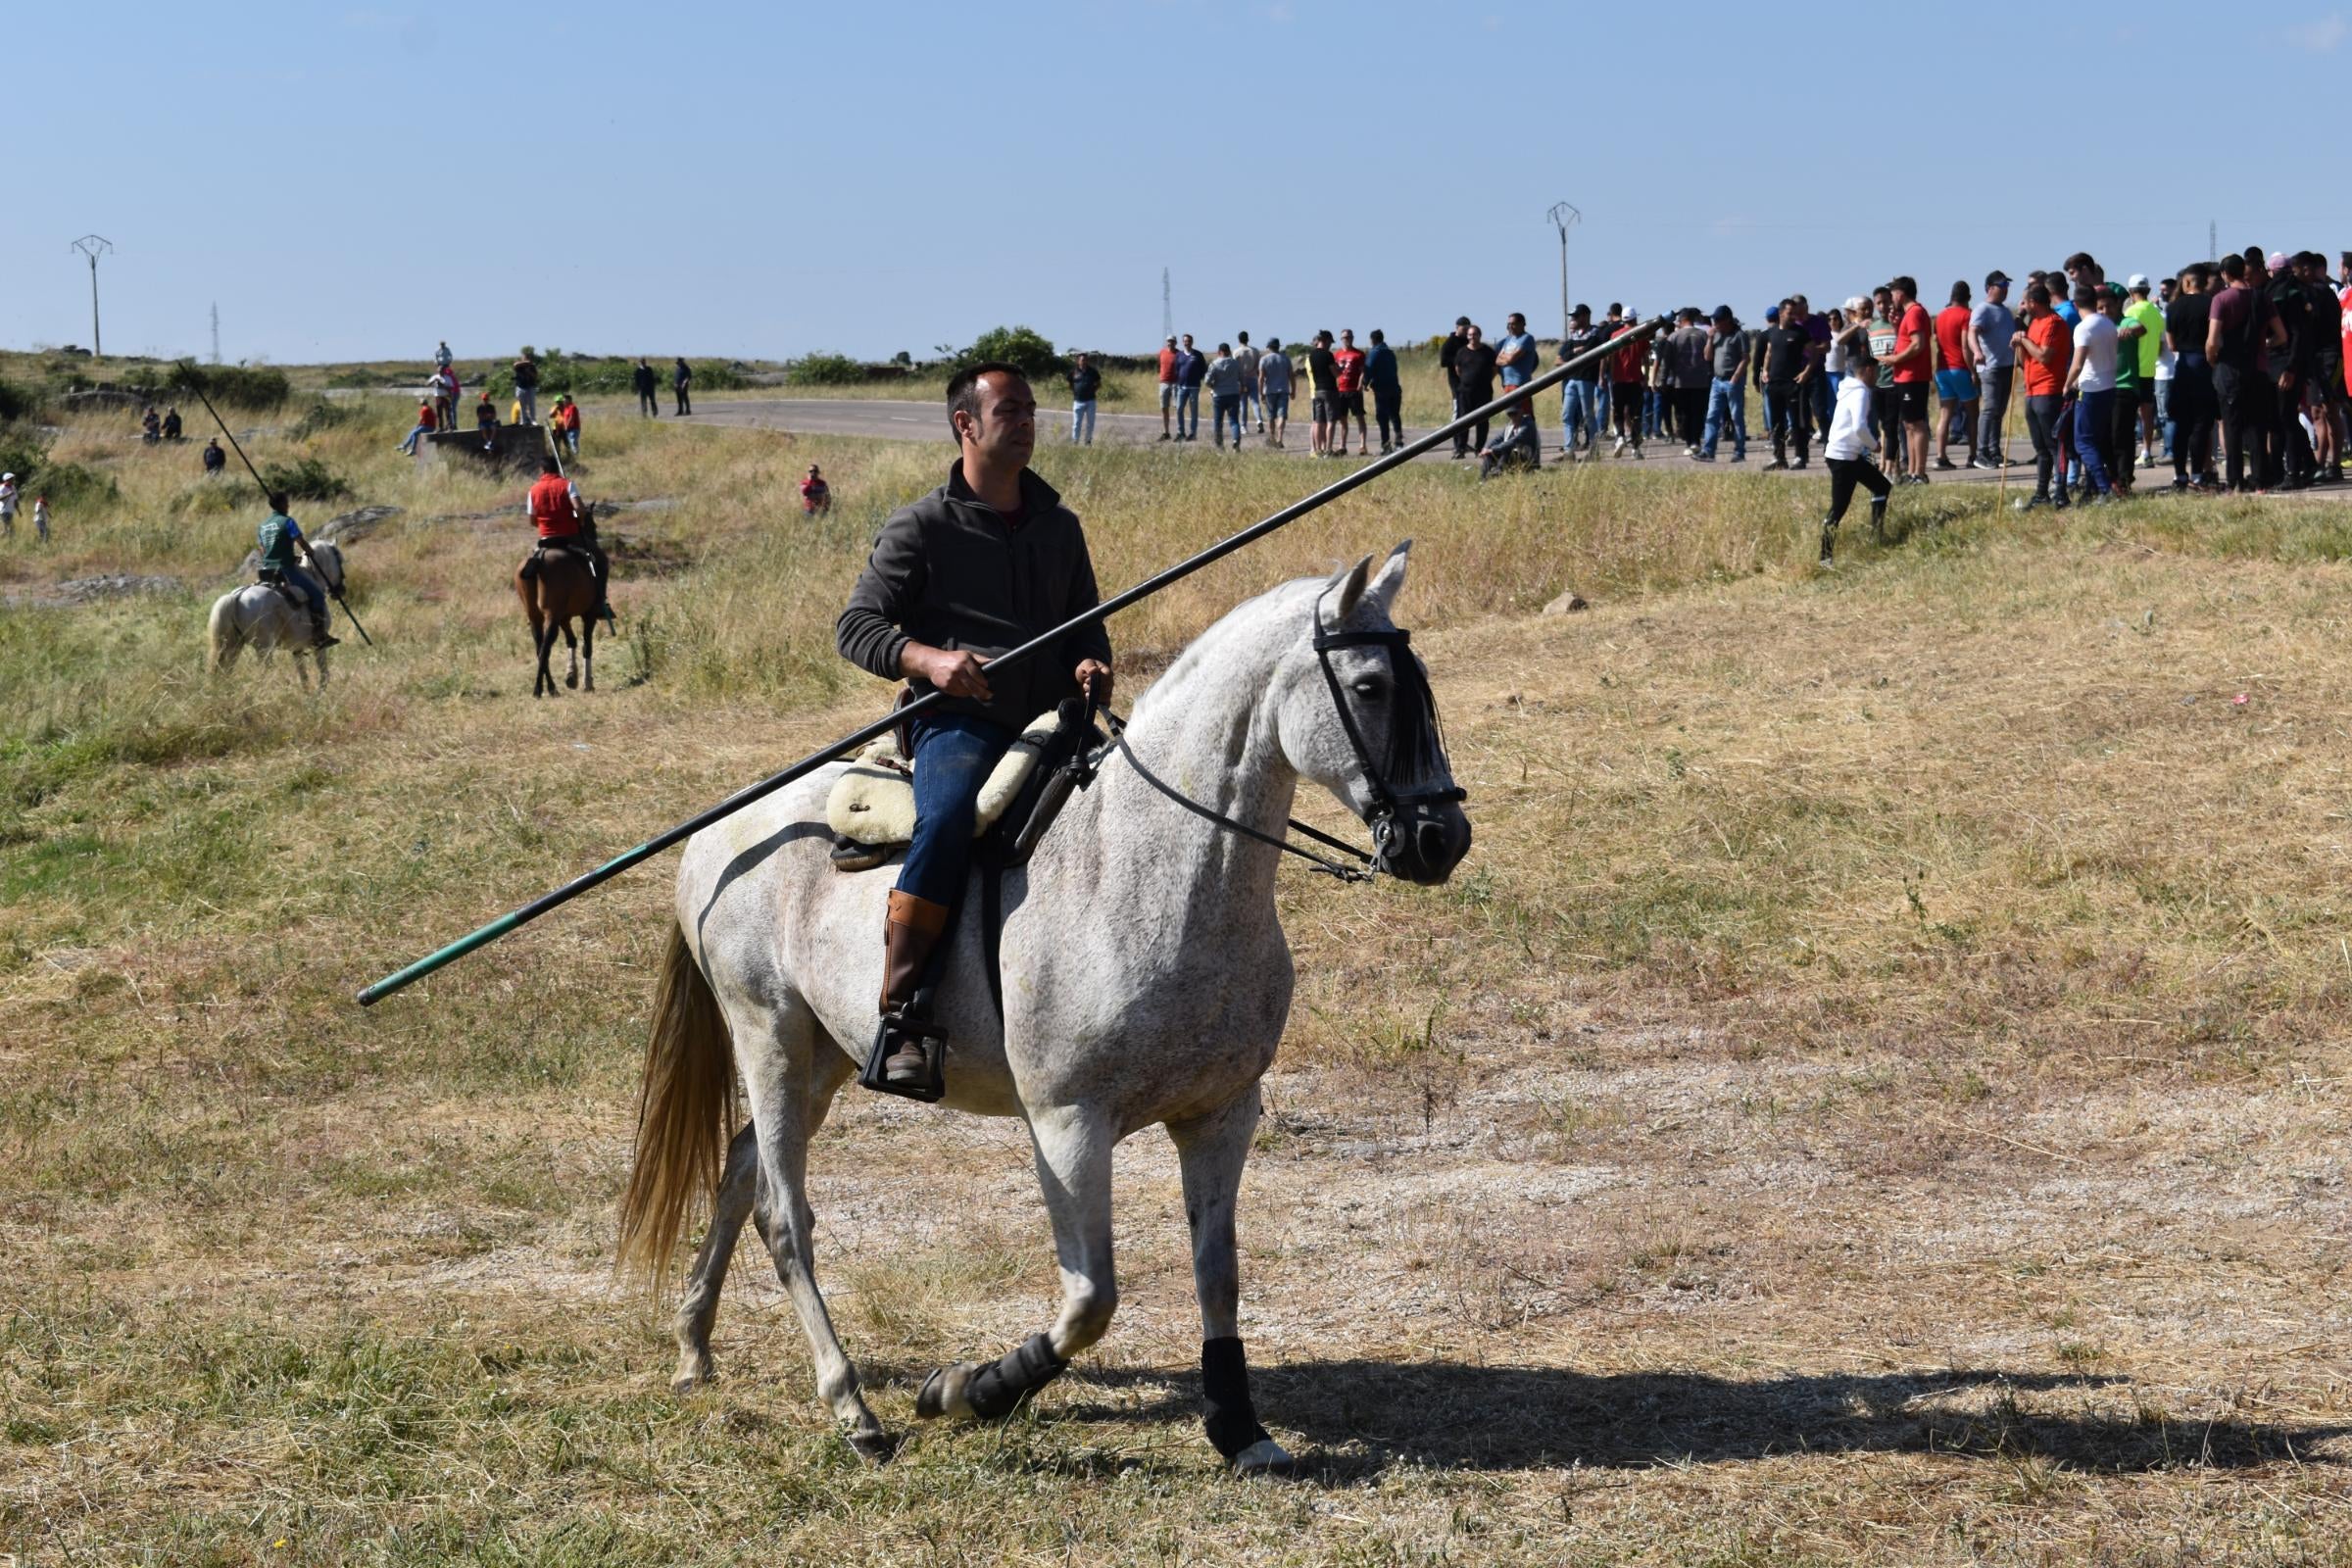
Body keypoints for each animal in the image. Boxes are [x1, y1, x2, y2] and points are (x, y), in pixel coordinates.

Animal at [208, 543, 343, 691]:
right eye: (340, 560)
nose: (341, 590)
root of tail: (237, 596)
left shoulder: (297, 647)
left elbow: (303, 676)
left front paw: (307, 693)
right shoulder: (318, 645)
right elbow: (324, 674)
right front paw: (320, 694)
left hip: (233, 646)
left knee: (227, 670)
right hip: (264, 648)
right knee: (263, 674)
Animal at [514, 550, 597, 700]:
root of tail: (538, 557)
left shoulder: (564, 618)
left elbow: (572, 640)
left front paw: (572, 676)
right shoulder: (589, 615)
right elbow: (587, 645)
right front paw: (587, 683)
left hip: (536, 617)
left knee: (540, 649)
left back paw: (550, 688)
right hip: (552, 616)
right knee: (545, 648)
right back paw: (540, 689)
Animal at [615, 540, 1477, 1476]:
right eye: (1369, 686)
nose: (1442, 839)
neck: (1146, 868)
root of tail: (715, 837)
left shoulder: (1221, 1114)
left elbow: (1218, 1275)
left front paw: (1239, 1428)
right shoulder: (1067, 1124)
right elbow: (1090, 1299)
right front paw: (969, 1390)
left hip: (824, 1055)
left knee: (741, 1170)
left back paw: (694, 1349)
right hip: (766, 1033)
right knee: (782, 1215)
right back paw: (853, 1408)